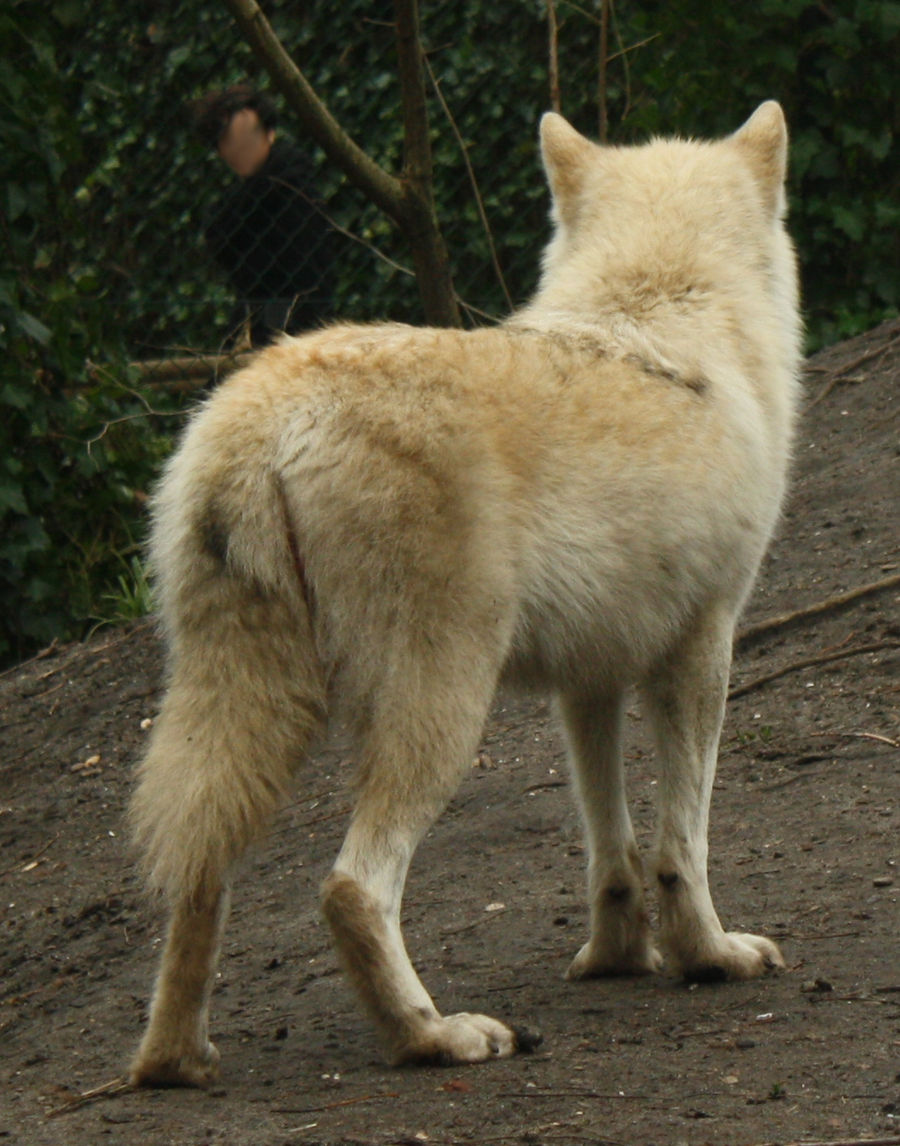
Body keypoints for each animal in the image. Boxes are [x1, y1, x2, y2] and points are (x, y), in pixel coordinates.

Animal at [129, 102, 801, 1085]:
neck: (666, 299)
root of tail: (264, 420)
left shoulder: (589, 682)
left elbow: (612, 847)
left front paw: (615, 959)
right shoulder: (701, 649)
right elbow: (684, 843)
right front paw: (709, 958)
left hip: (241, 712)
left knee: (193, 872)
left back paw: (175, 1061)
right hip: (441, 711)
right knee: (351, 887)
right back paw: (434, 1036)